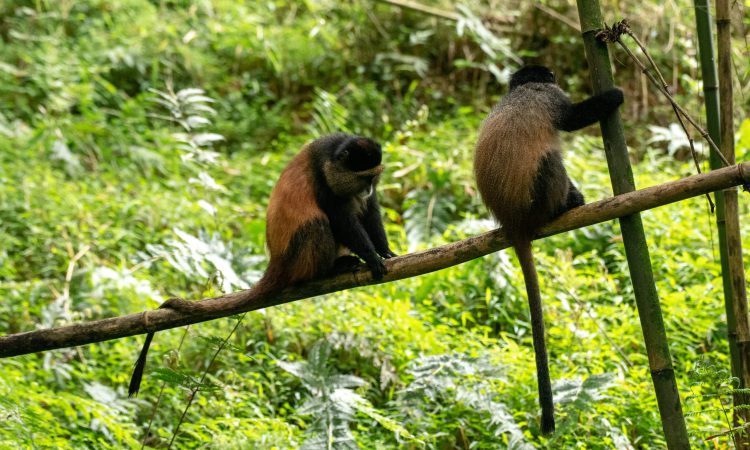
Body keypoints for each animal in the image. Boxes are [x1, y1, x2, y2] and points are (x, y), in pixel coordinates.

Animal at [128, 133, 396, 396]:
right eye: (363, 177)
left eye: (374, 177)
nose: (368, 189)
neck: (333, 157)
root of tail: (277, 262)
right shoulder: (326, 185)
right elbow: (341, 219)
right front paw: (372, 257)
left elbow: (370, 211)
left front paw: (386, 252)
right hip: (299, 255)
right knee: (317, 224)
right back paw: (328, 270)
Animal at [473, 65, 623, 434]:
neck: (522, 89)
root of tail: (512, 220)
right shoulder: (550, 96)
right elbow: (571, 119)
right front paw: (615, 96)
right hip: (539, 200)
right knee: (551, 159)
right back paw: (567, 205)